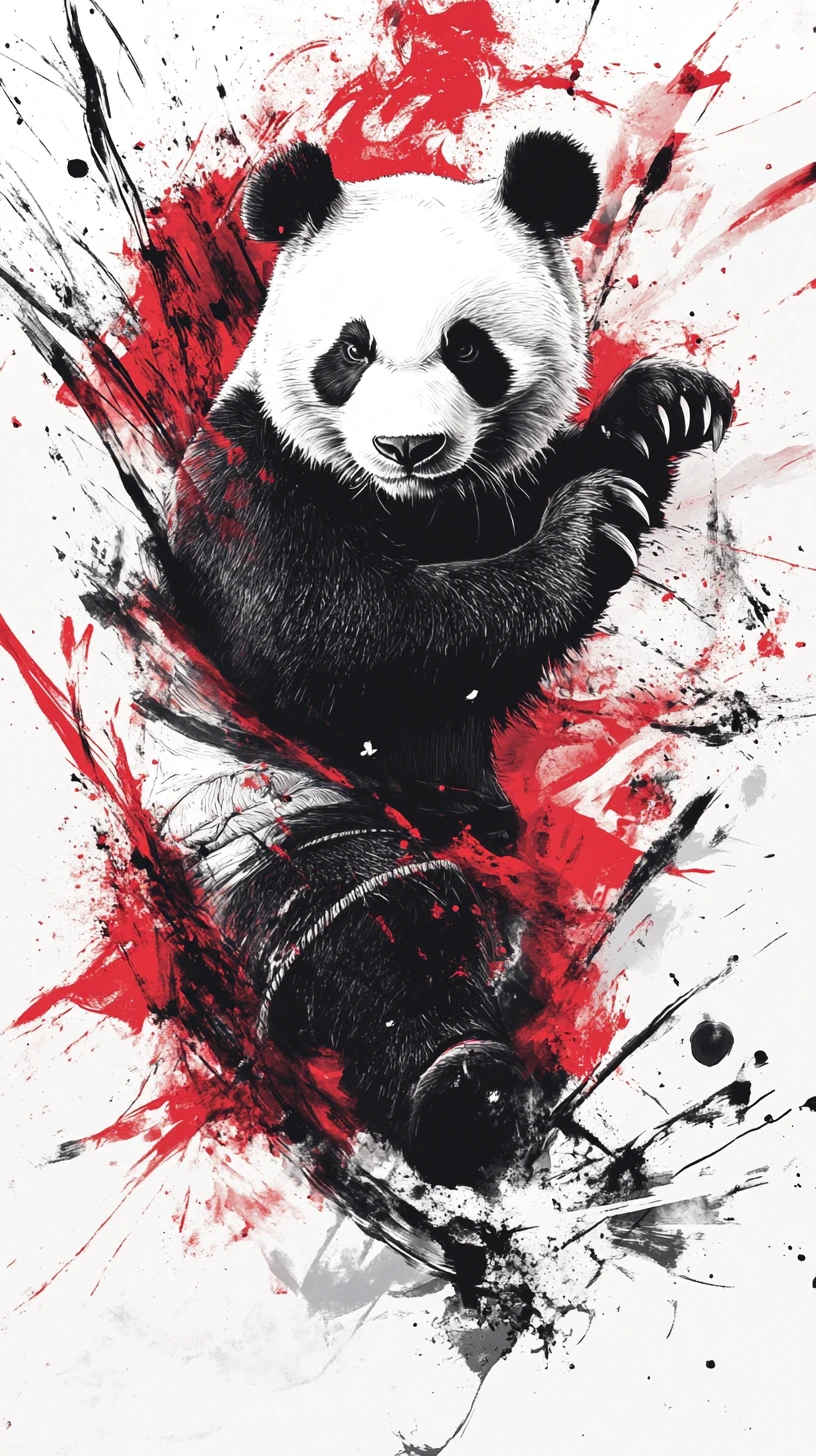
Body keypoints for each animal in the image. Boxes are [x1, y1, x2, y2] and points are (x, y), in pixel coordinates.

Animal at [166, 131, 733, 1189]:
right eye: (351, 348)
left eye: (468, 347)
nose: (410, 444)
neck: (407, 505)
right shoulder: (248, 481)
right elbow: (348, 640)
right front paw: (587, 533)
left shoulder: (482, 492)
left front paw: (659, 408)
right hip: (243, 808)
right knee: (351, 909)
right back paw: (456, 1082)